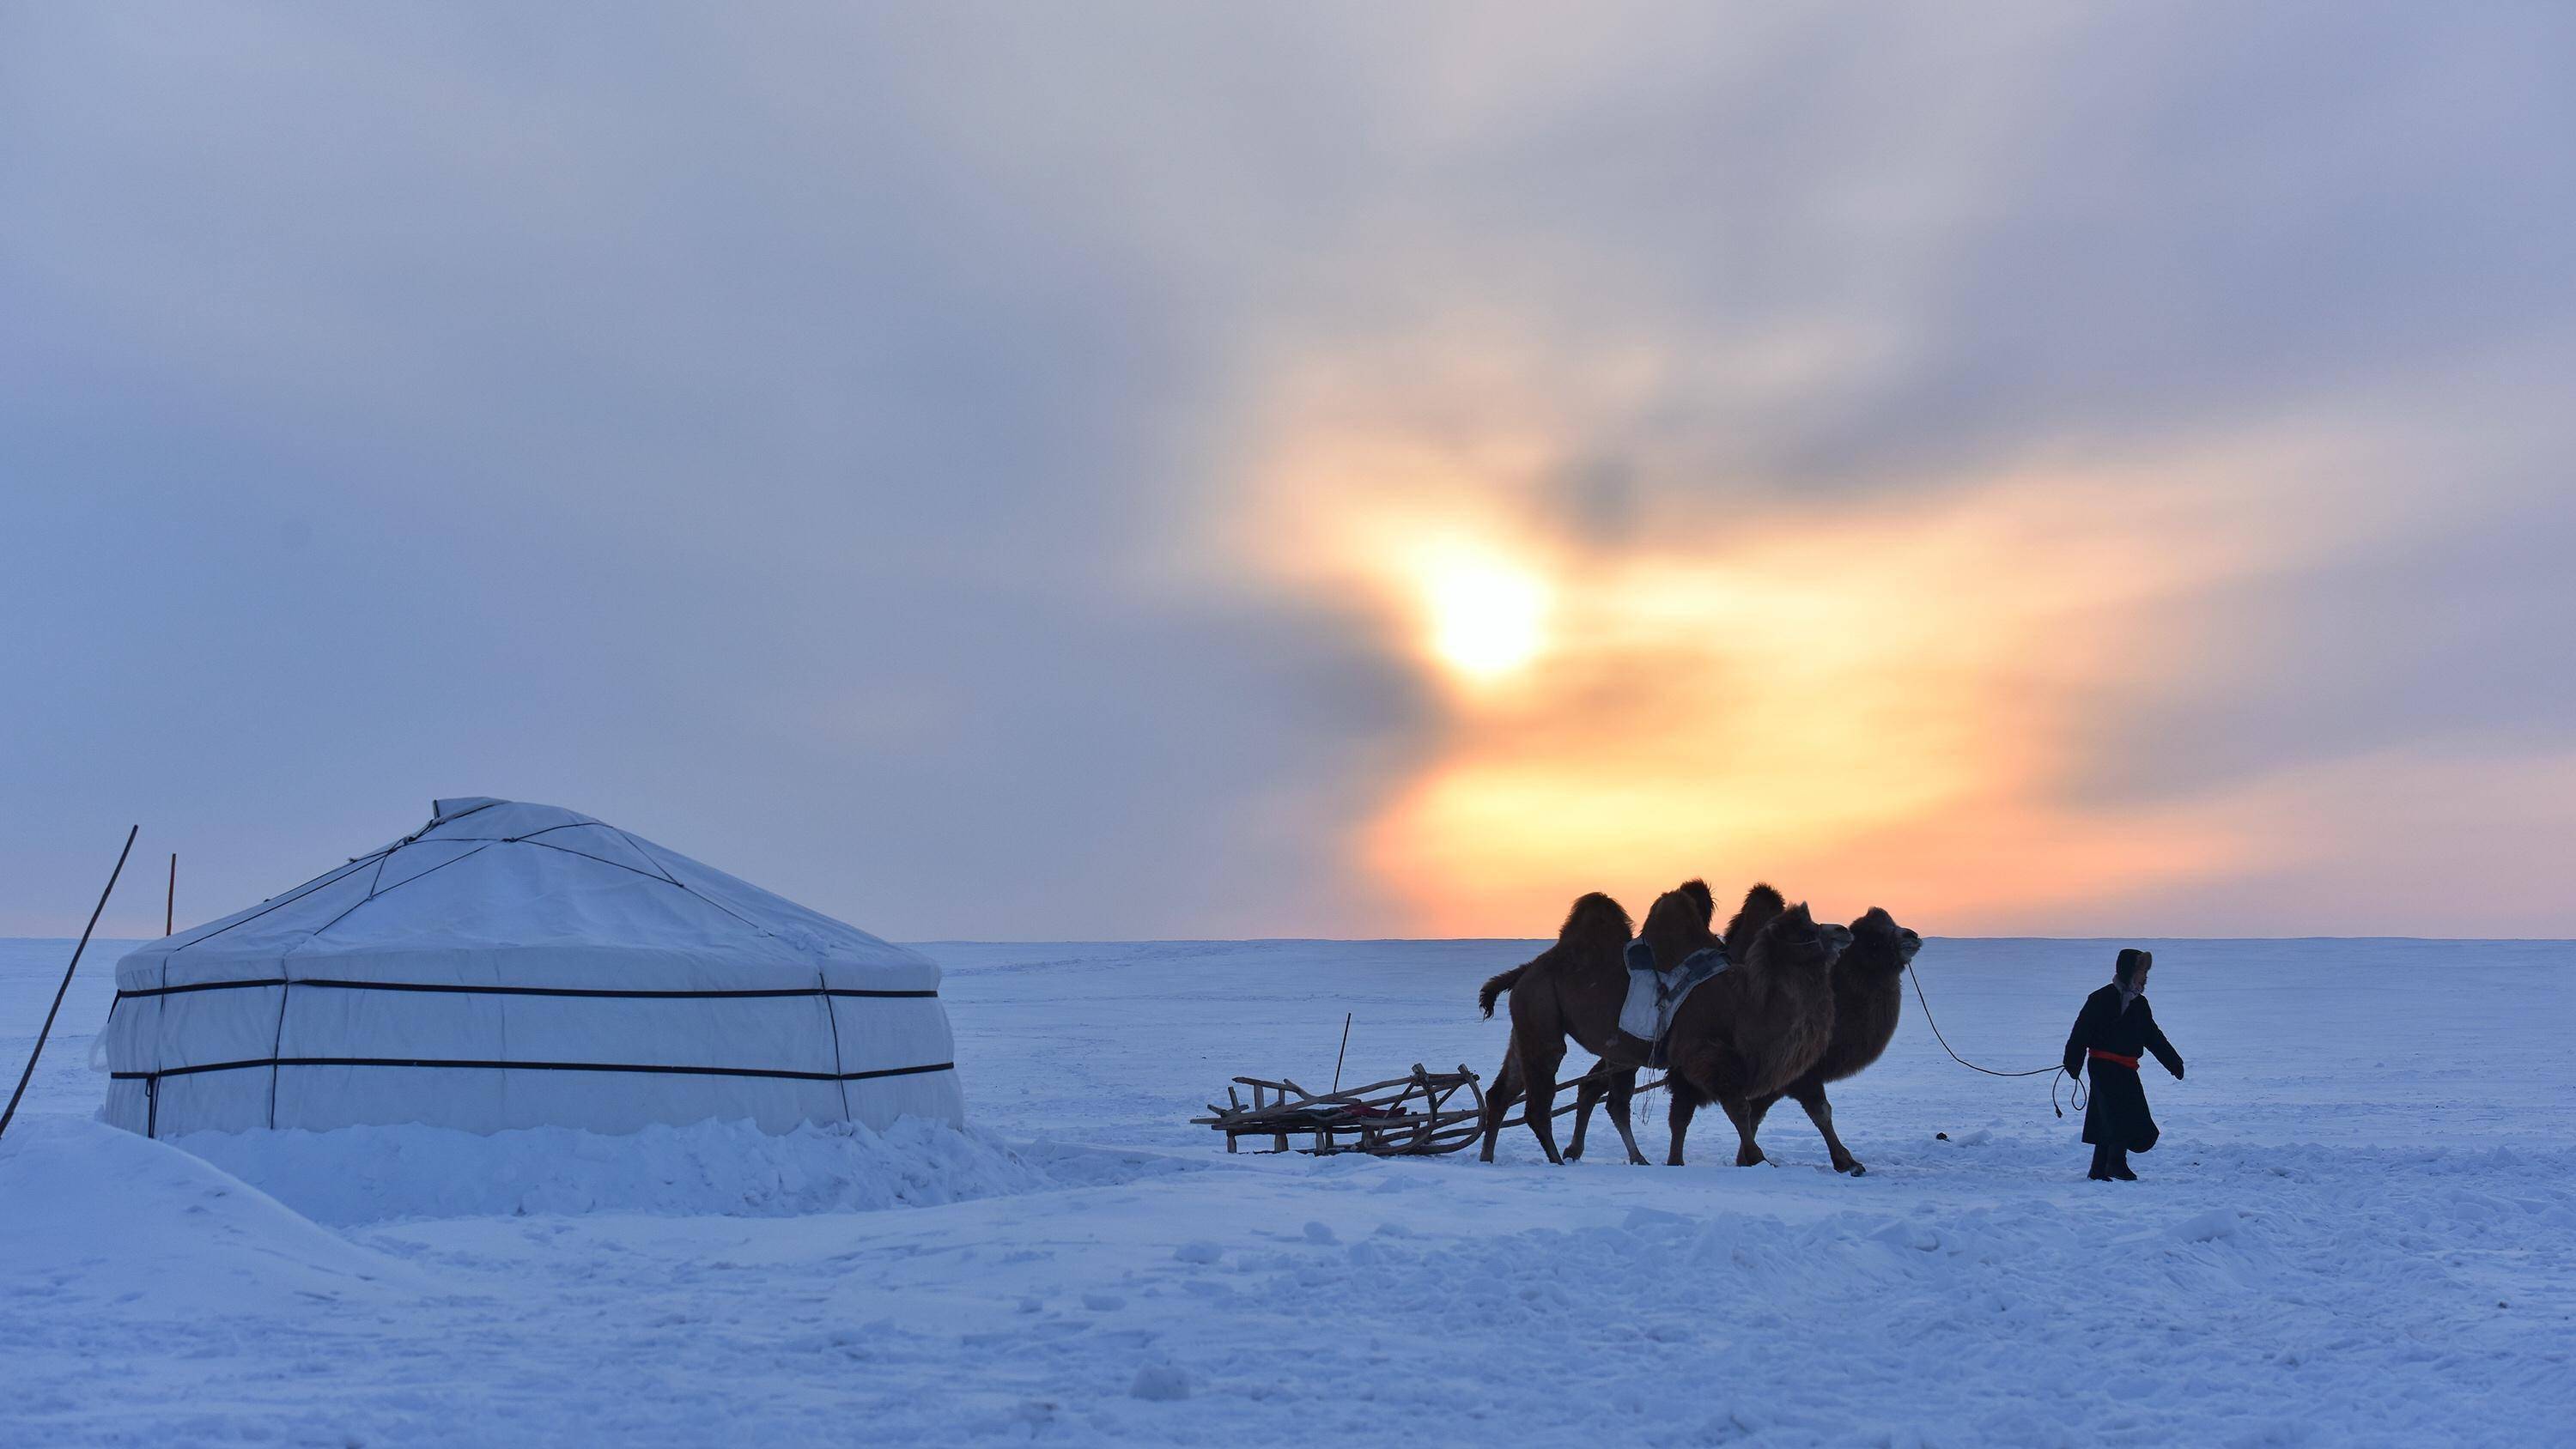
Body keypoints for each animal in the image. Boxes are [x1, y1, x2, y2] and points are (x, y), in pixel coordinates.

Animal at [1649, 890, 1855, 1173]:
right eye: (1804, 934)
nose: (1842, 930)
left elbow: (1821, 1110)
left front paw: (1849, 1162)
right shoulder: (1706, 1060)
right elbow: (1736, 1110)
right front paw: (1758, 1158)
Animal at [1741, 911, 1927, 1173]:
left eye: (1892, 922)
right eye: (1874, 941)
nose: (1911, 936)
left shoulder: (1775, 1084)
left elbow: (1753, 1117)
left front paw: (1745, 1160)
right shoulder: (1803, 1077)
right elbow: (1822, 1113)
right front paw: (1847, 1162)